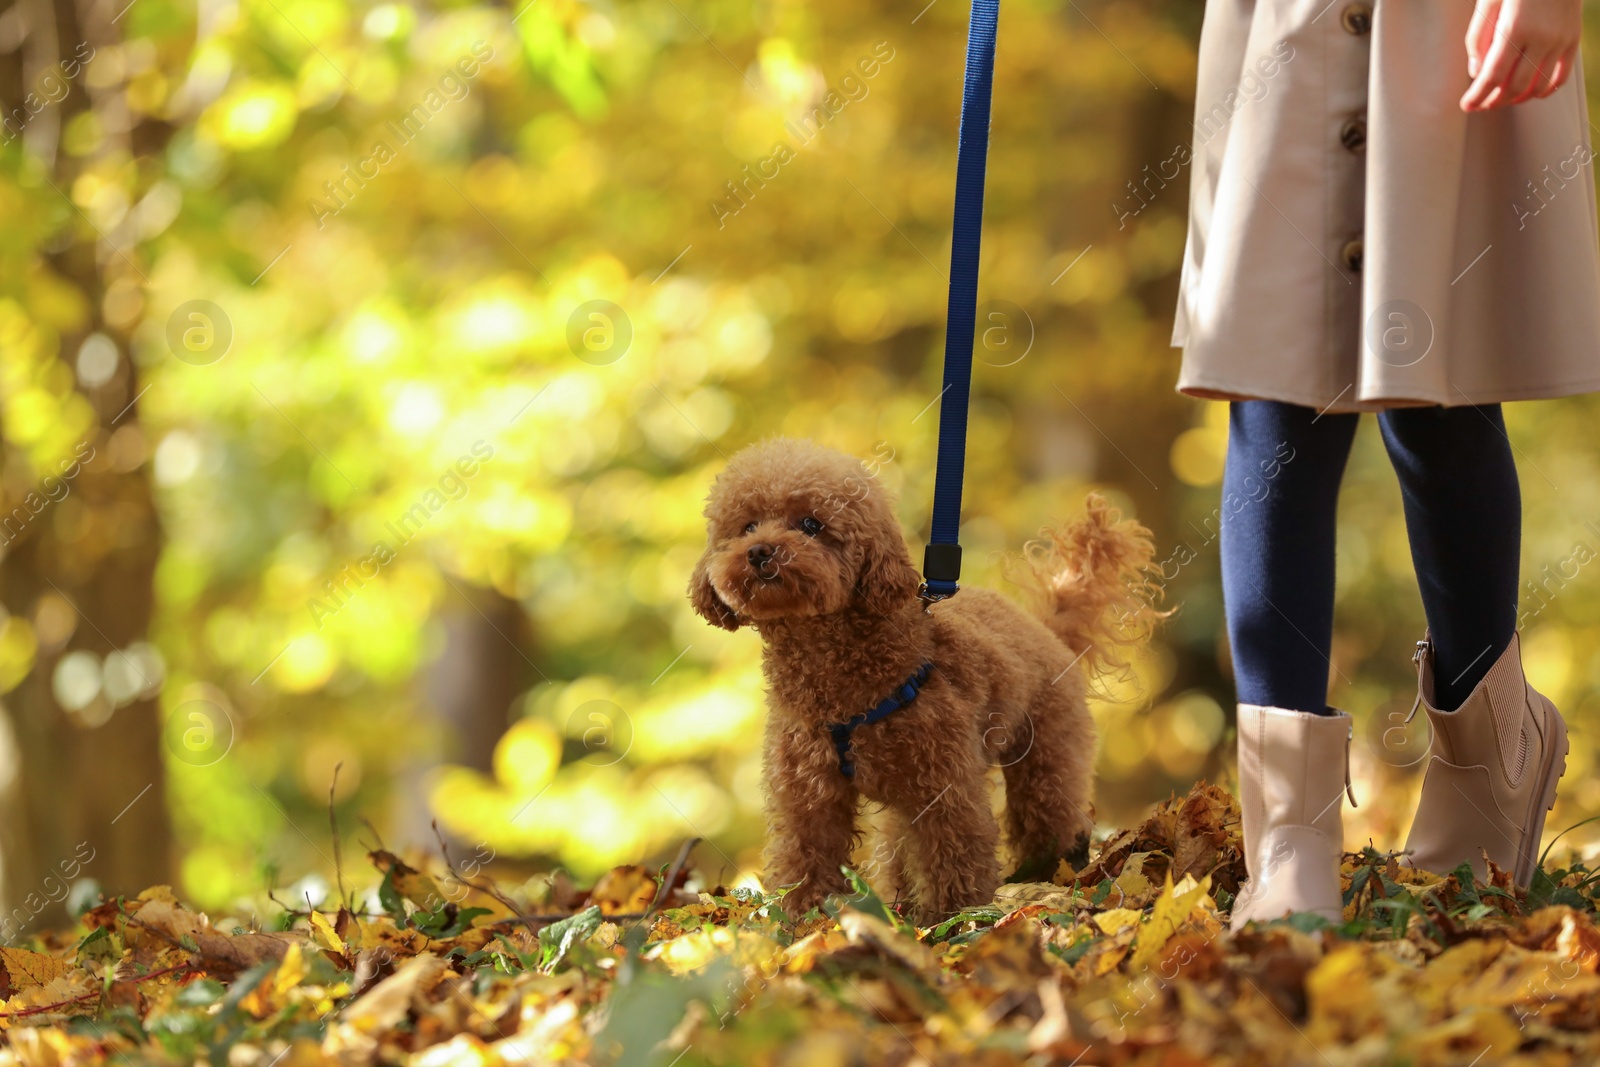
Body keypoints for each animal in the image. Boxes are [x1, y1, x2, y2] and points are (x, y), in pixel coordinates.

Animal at [688, 438, 1164, 921]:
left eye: (810, 524)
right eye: (747, 526)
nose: (759, 551)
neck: (835, 676)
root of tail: (1046, 628)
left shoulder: (943, 783)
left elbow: (953, 847)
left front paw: (953, 917)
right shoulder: (808, 790)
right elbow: (807, 849)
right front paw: (803, 915)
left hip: (1046, 755)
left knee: (1050, 817)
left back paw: (1054, 875)